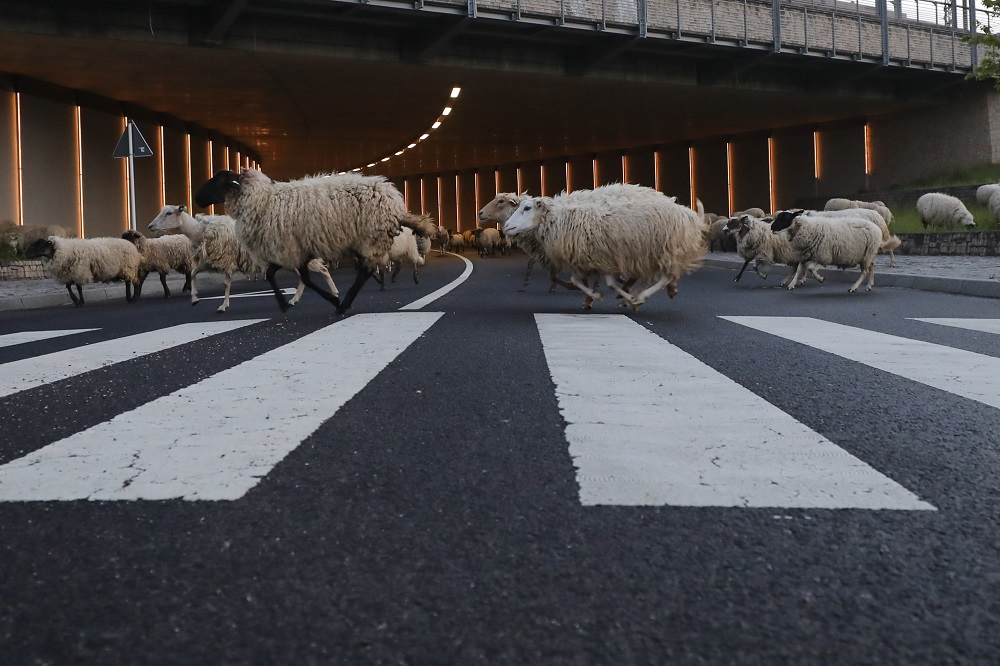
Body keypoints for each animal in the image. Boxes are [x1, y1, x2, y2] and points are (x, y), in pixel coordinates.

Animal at [146, 202, 340, 312]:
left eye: (169, 213)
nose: (149, 226)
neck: (200, 231)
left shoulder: (227, 260)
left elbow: (226, 284)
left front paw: (223, 306)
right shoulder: (208, 261)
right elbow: (193, 273)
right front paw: (194, 298)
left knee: (323, 270)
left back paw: (334, 292)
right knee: (303, 279)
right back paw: (294, 300)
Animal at [193, 171, 436, 316]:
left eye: (218, 180)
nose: (196, 198)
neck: (263, 200)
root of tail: (395, 202)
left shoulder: (290, 250)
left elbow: (305, 280)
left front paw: (332, 300)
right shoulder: (289, 251)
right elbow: (276, 275)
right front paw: (284, 303)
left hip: (369, 239)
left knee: (364, 273)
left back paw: (343, 305)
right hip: (365, 242)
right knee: (365, 271)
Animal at [500, 180, 704, 308]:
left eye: (527, 208)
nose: (506, 226)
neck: (563, 219)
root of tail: (688, 213)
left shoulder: (599, 258)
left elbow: (590, 281)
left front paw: (600, 296)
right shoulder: (598, 259)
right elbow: (597, 281)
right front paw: (596, 296)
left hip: (661, 251)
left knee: (666, 276)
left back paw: (640, 296)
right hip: (648, 254)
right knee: (657, 276)